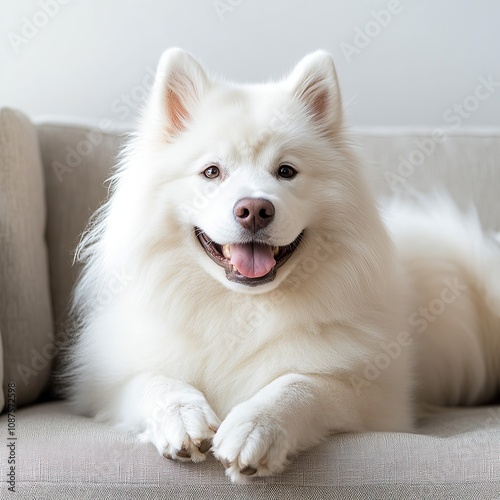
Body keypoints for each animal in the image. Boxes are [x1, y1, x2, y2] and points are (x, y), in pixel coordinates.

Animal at [65, 48, 496, 482]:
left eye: (286, 171)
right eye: (212, 171)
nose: (255, 209)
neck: (241, 310)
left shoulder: (376, 400)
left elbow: (301, 384)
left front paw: (254, 429)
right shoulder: (101, 389)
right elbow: (153, 381)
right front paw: (182, 418)